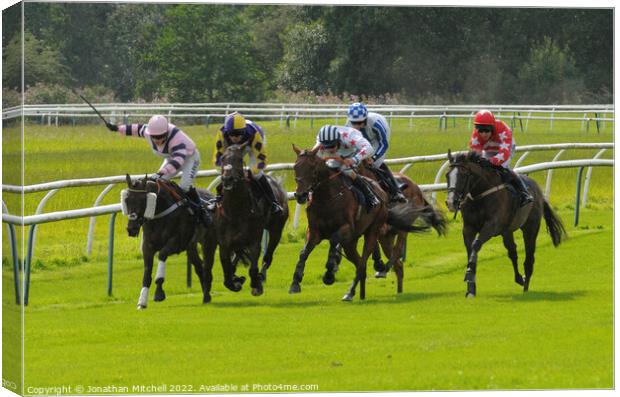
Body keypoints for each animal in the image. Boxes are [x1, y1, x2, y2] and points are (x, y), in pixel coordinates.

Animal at [121, 175, 218, 308]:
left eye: (143, 200)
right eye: (127, 200)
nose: (131, 228)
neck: (160, 214)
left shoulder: (177, 243)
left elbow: (162, 255)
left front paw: (159, 293)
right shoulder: (147, 247)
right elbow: (147, 274)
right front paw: (142, 302)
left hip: (208, 241)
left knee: (207, 266)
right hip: (191, 247)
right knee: (199, 267)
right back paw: (206, 296)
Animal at [207, 142, 286, 294]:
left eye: (238, 159)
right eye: (223, 158)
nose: (227, 179)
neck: (235, 210)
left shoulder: (254, 240)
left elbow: (253, 268)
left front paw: (256, 284)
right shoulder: (224, 243)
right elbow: (227, 276)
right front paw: (236, 281)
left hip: (276, 229)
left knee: (268, 256)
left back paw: (262, 274)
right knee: (238, 255)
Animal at [288, 145, 428, 300]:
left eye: (312, 168)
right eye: (295, 167)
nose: (300, 195)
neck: (327, 198)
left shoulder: (347, 229)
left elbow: (334, 241)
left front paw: (329, 273)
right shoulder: (314, 231)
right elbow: (303, 253)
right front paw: (295, 283)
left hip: (377, 231)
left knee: (369, 260)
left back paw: (361, 284)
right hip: (356, 242)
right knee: (368, 263)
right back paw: (364, 291)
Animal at [446, 150, 568, 296]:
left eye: (463, 175)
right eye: (447, 175)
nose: (450, 202)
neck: (480, 195)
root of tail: (538, 191)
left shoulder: (491, 226)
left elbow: (476, 245)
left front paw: (469, 274)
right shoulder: (468, 228)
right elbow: (470, 250)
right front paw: (471, 288)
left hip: (531, 227)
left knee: (529, 257)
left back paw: (526, 286)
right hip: (507, 231)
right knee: (513, 252)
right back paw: (520, 278)